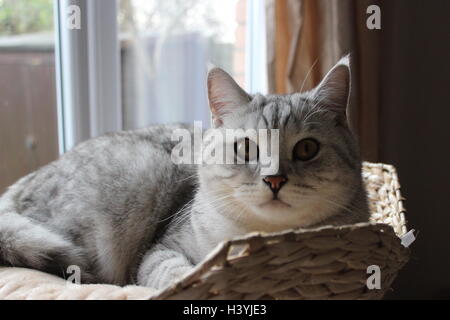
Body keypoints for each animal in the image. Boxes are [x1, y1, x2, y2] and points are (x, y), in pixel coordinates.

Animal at [0, 56, 370, 288]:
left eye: (307, 149)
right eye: (246, 147)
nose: (274, 179)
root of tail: (14, 192)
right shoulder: (162, 248)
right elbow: (171, 269)